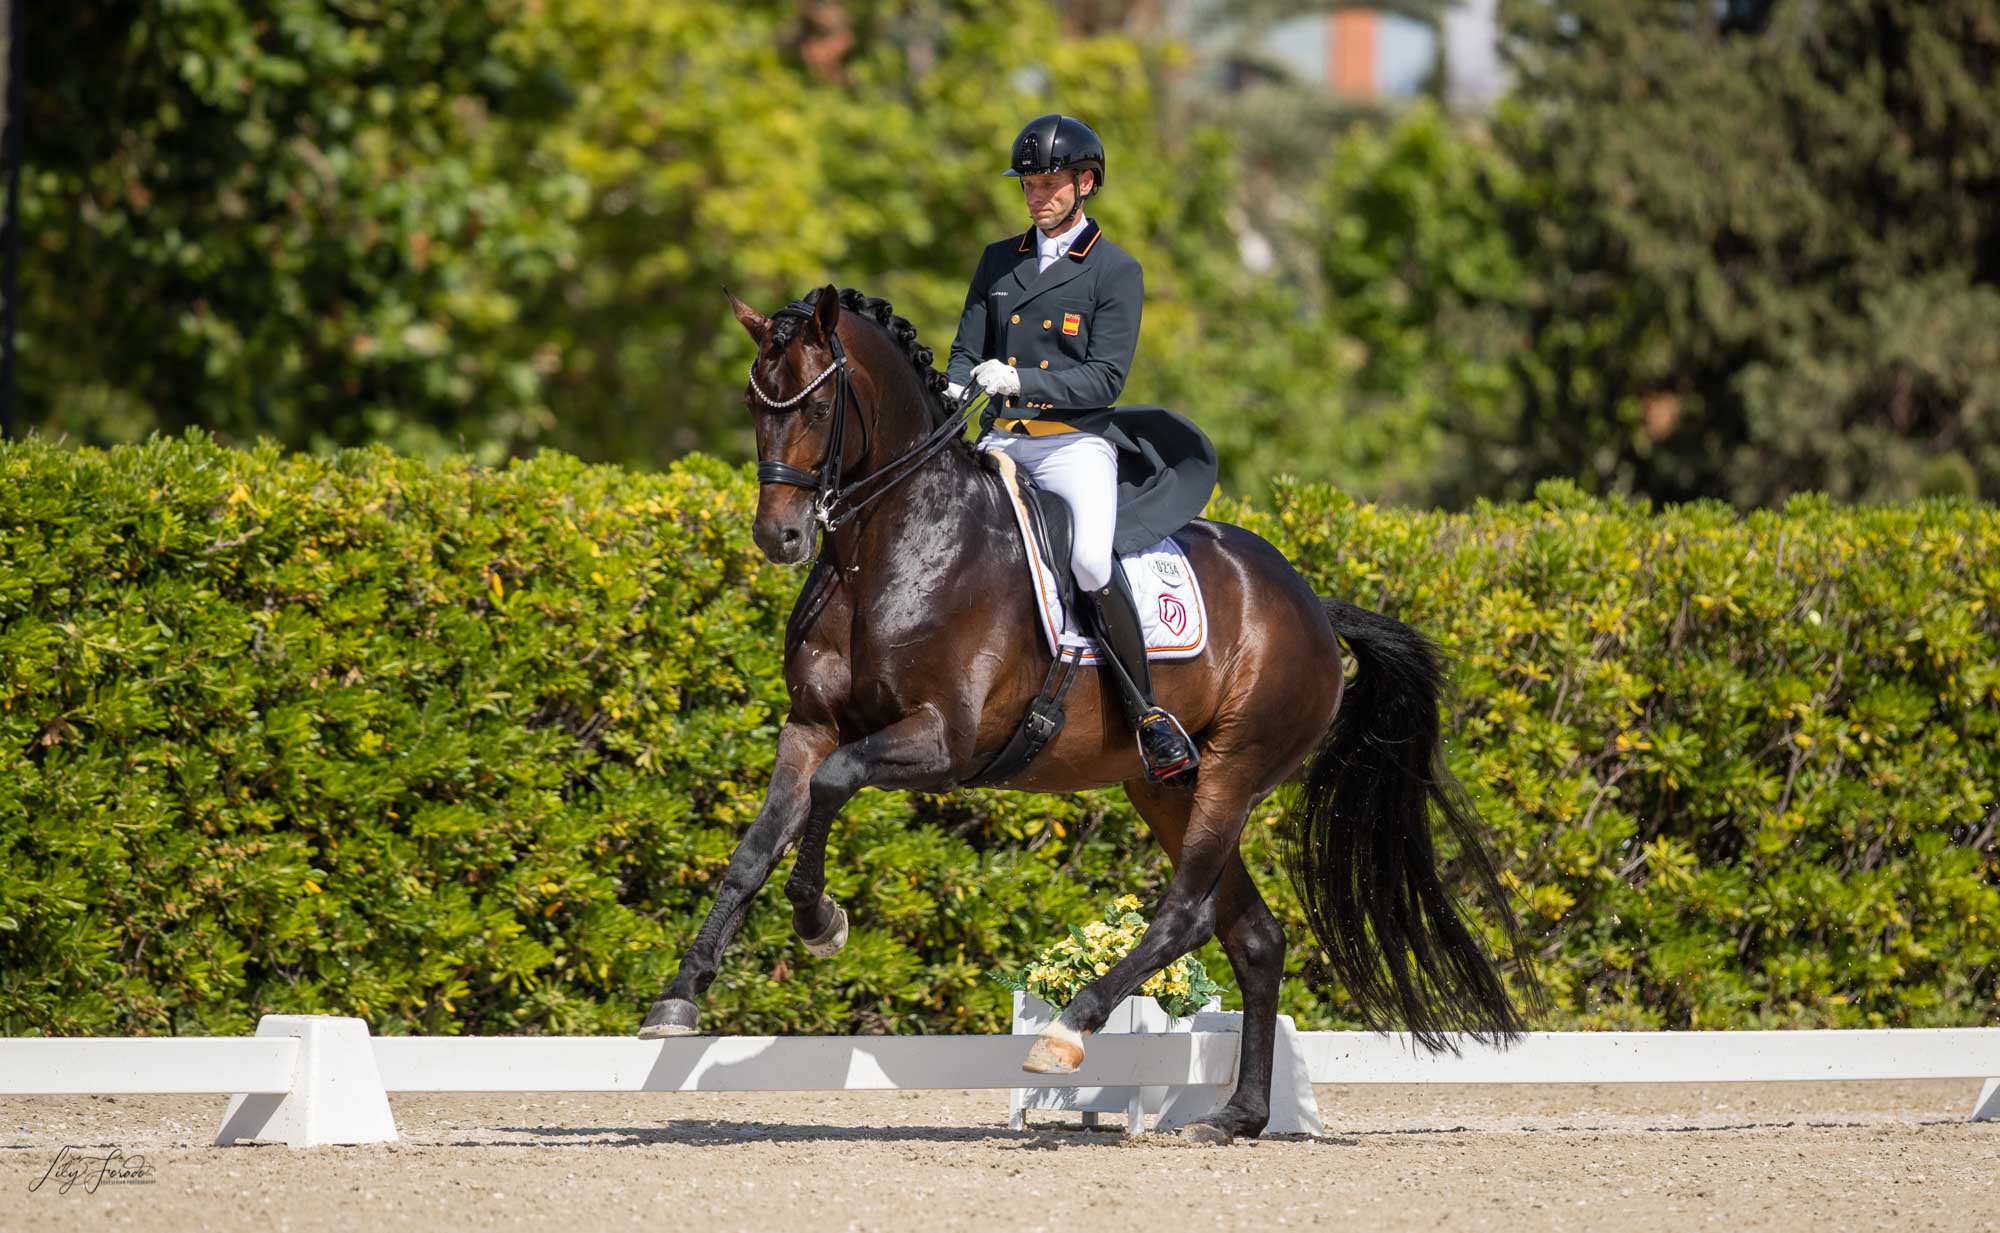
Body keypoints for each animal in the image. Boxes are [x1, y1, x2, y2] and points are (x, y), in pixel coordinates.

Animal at [640, 284, 1528, 1144]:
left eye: (820, 405)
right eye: (755, 404)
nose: (780, 536)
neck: (885, 549)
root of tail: (1312, 602)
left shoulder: (944, 740)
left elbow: (833, 782)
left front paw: (821, 918)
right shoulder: (810, 725)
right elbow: (757, 845)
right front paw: (680, 993)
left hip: (1235, 772)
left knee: (1186, 913)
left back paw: (1069, 1030)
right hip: (1164, 785)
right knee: (1254, 935)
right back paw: (1233, 1117)